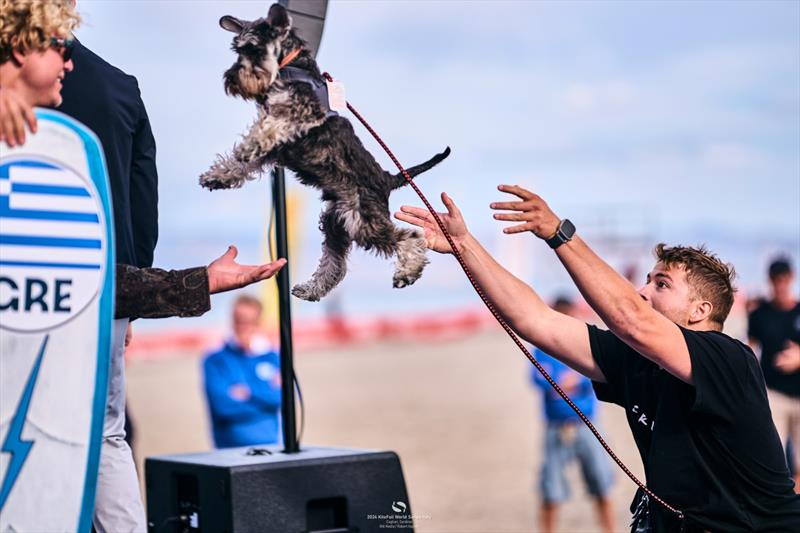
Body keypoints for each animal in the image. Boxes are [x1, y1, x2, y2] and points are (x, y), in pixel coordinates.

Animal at [200, 4, 450, 302]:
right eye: (237, 49)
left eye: (254, 48)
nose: (231, 79)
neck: (291, 66)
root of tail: (388, 178)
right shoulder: (277, 149)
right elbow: (243, 162)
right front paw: (218, 176)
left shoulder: (302, 112)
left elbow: (266, 127)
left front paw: (249, 146)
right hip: (336, 224)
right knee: (336, 265)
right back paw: (310, 289)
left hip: (364, 222)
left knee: (410, 236)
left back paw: (407, 273)